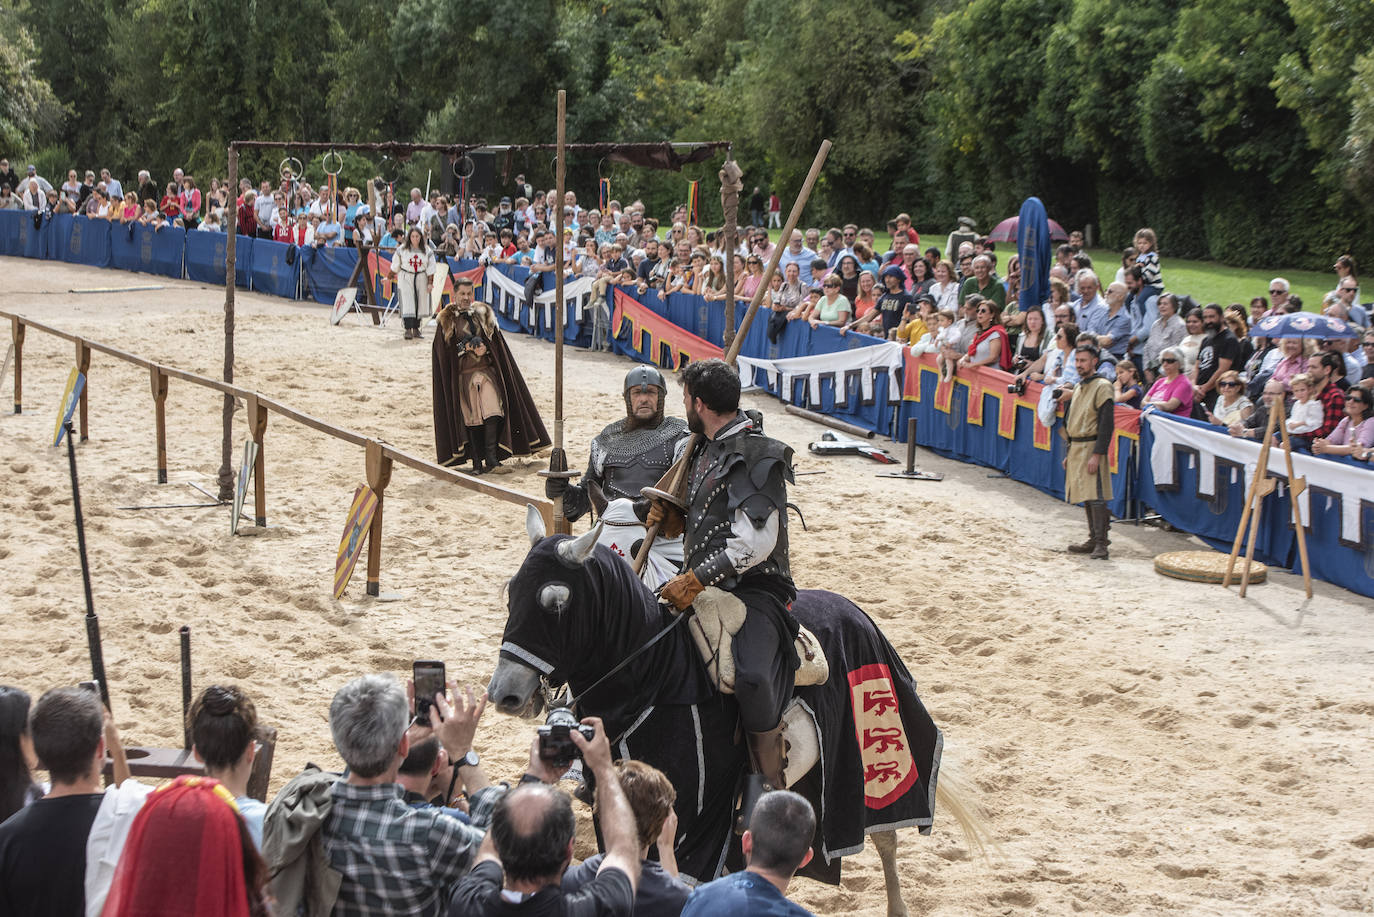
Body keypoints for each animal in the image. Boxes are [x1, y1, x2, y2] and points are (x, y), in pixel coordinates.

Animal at [489, 514, 950, 912]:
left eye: (555, 603)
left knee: (886, 834)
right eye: (511, 592)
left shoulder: (698, 824)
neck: (655, 676)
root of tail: (856, 611)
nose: (503, 693)